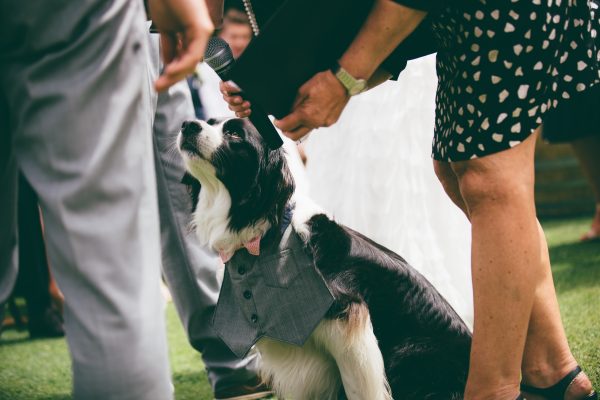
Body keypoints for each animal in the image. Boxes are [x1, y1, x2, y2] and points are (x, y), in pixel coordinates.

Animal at [178, 117, 474, 398]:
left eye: (235, 134)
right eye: (210, 122)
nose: (188, 125)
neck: (265, 234)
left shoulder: (348, 323)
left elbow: (359, 390)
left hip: (411, 351)